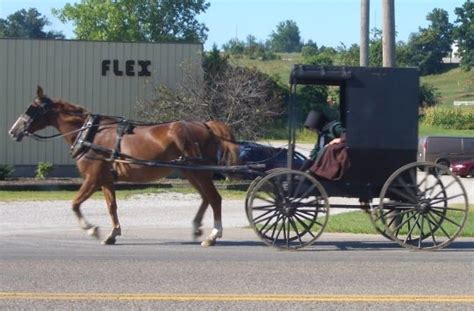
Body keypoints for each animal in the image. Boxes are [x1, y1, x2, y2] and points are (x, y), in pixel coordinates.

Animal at [10, 86, 241, 247]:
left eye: (32, 108)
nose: (13, 130)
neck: (90, 133)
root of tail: (206, 125)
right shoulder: (105, 179)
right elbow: (111, 206)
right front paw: (112, 234)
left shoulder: (92, 178)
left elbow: (75, 204)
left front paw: (91, 229)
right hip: (191, 172)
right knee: (206, 198)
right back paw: (197, 228)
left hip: (198, 172)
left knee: (214, 199)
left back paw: (213, 236)